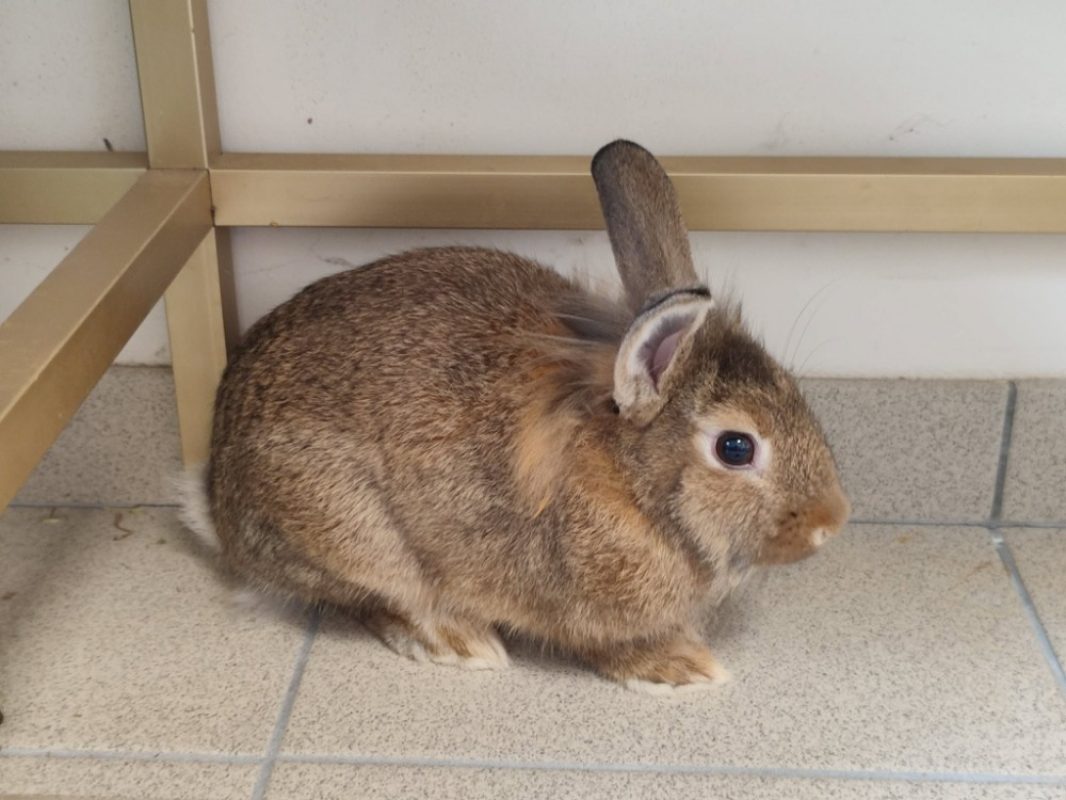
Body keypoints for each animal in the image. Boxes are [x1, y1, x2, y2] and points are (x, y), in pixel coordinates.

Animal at [190, 140, 850, 694]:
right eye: (736, 448)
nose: (832, 522)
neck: (630, 484)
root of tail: (218, 505)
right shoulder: (581, 608)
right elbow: (608, 647)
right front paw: (681, 667)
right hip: (356, 539)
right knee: (375, 601)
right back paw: (459, 641)